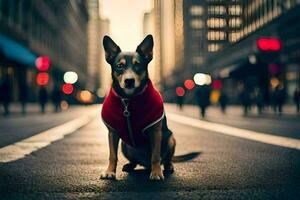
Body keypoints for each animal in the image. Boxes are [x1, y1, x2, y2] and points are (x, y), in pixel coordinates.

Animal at [101, 34, 176, 181]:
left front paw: (156, 173)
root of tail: (145, 164)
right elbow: (112, 156)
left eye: (138, 65)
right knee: (134, 161)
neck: (128, 100)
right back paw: (130, 165)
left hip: (170, 138)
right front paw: (110, 171)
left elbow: (155, 156)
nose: (129, 80)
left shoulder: (155, 132)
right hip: (125, 145)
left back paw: (167, 166)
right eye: (119, 66)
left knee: (165, 159)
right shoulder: (112, 133)